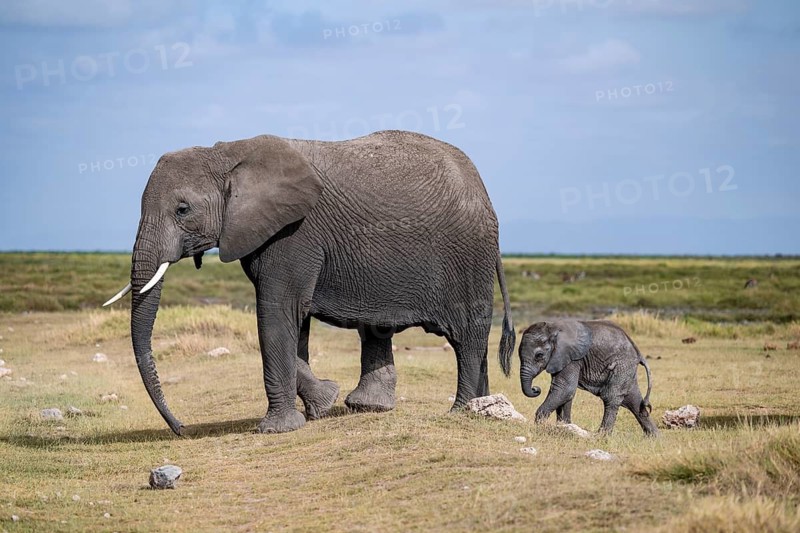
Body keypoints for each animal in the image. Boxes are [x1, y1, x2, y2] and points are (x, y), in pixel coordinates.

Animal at [103, 130, 516, 436]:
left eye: (182, 209)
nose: (182, 428)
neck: (226, 153)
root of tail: (483, 191)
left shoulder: (294, 234)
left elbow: (276, 314)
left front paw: (277, 429)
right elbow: (293, 320)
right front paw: (322, 404)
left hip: (468, 257)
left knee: (467, 338)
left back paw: (461, 411)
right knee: (380, 330)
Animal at [518, 320, 658, 436]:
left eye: (539, 355)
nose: (536, 389)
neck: (552, 328)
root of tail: (638, 353)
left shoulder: (572, 359)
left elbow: (565, 389)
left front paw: (539, 427)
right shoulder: (561, 359)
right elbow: (565, 392)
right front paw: (565, 425)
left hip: (621, 366)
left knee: (611, 398)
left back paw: (602, 436)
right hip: (626, 370)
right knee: (635, 401)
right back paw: (654, 438)